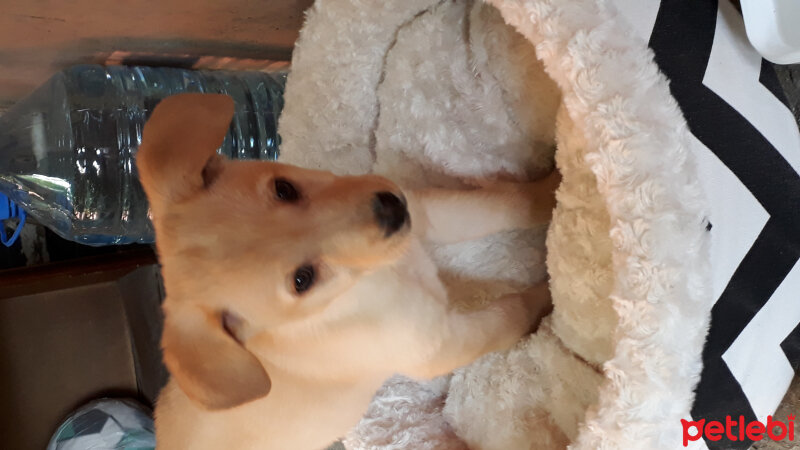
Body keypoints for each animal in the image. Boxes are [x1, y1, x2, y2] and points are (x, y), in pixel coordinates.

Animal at [136, 93, 556, 448]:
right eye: (302, 280)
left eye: (284, 189)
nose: (390, 208)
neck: (369, 281)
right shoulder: (438, 345)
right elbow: (509, 314)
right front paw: (551, 299)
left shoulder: (422, 212)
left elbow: (503, 204)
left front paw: (552, 190)